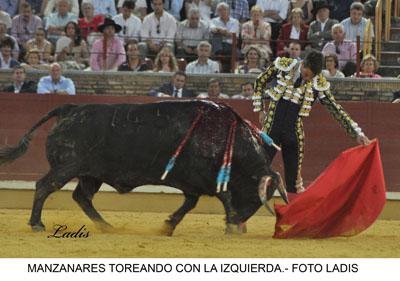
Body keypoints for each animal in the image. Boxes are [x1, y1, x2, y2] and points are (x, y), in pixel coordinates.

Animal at [0, 99, 288, 233]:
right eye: (256, 197)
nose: (242, 222)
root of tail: (70, 108)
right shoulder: (206, 179)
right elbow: (224, 197)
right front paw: (230, 226)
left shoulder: (192, 183)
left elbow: (190, 203)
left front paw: (167, 226)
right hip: (67, 167)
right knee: (44, 186)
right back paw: (37, 223)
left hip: (91, 174)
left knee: (81, 196)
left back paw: (107, 226)